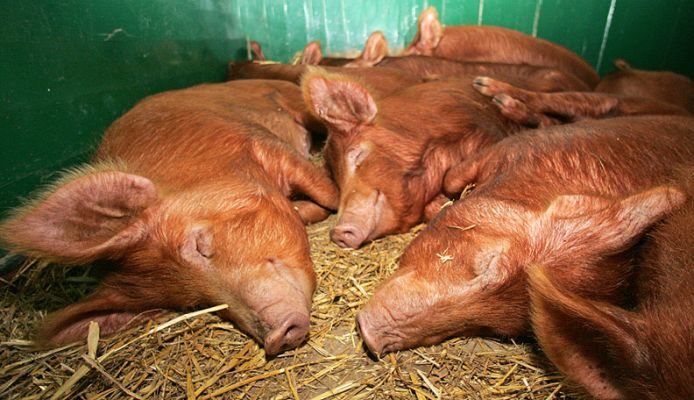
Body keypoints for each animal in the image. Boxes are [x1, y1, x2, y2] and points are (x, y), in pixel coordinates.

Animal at [0, 79, 339, 357]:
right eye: (195, 304)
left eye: (201, 244)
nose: (275, 338)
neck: (204, 174)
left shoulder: (260, 144)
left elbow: (327, 194)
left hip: (289, 98)